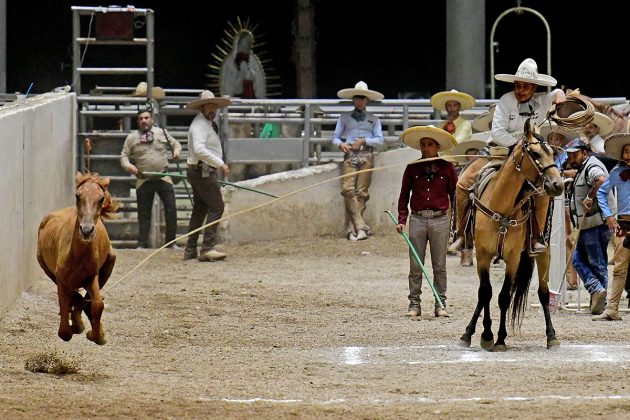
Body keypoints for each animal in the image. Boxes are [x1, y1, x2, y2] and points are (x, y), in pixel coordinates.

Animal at [37, 171, 119, 344]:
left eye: (101, 198)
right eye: (77, 195)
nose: (86, 230)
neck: (76, 256)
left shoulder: (91, 277)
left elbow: (97, 304)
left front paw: (96, 335)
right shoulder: (60, 279)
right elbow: (65, 330)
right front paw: (77, 325)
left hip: (110, 261)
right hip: (44, 266)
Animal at [460, 121, 568, 352]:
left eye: (553, 153)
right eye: (535, 153)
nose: (558, 185)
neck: (502, 206)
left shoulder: (512, 258)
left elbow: (504, 296)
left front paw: (500, 338)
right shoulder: (482, 255)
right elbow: (485, 292)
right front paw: (481, 334)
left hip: (543, 254)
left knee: (543, 293)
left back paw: (551, 336)